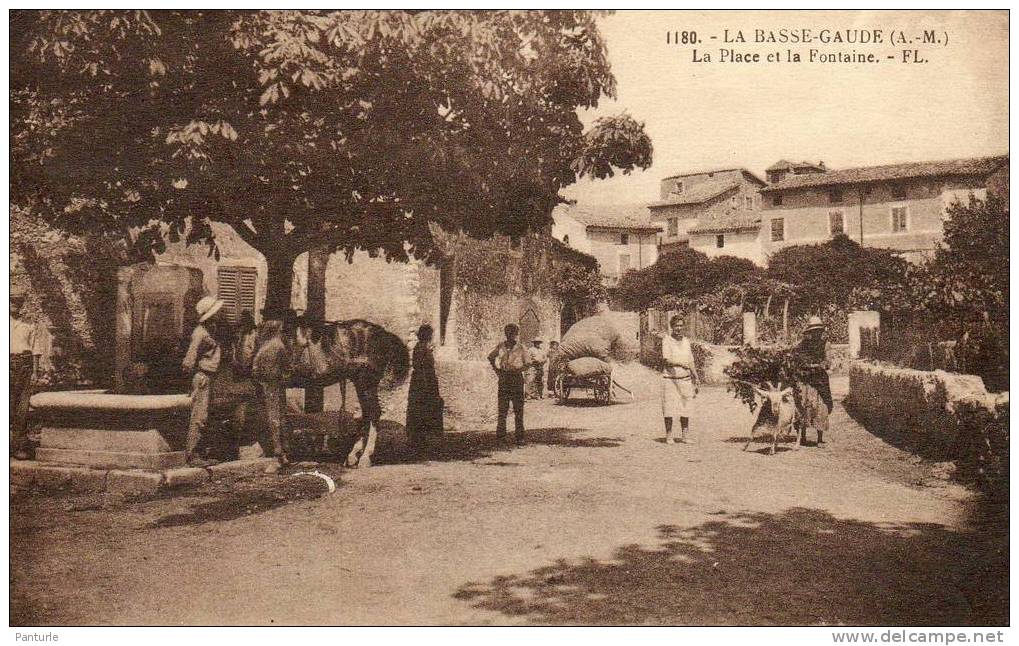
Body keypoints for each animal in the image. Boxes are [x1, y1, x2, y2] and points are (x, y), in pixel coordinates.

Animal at [249, 313, 409, 464]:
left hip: (366, 381)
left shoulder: (270, 384)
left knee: (373, 413)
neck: (267, 339)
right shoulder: (280, 386)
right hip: (361, 383)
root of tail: (384, 334)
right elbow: (282, 420)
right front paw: (285, 455)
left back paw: (365, 457)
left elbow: (274, 421)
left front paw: (278, 460)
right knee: (366, 414)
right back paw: (353, 455)